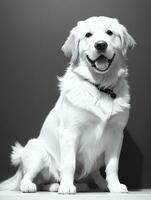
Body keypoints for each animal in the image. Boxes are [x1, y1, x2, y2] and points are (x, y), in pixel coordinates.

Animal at [0, 16, 135, 195]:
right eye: (88, 35)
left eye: (109, 32)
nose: (100, 44)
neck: (99, 86)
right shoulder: (71, 132)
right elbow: (69, 163)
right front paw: (66, 186)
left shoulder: (116, 133)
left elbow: (112, 165)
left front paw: (114, 185)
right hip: (38, 153)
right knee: (30, 177)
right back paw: (36, 185)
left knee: (91, 172)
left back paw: (89, 184)